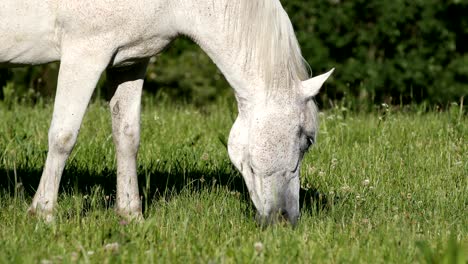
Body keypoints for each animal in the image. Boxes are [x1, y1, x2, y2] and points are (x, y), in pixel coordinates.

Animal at [1, 0, 334, 226]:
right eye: (308, 140)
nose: (286, 219)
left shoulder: (130, 62)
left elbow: (127, 138)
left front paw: (130, 215)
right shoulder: (85, 52)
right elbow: (63, 137)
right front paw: (42, 214)